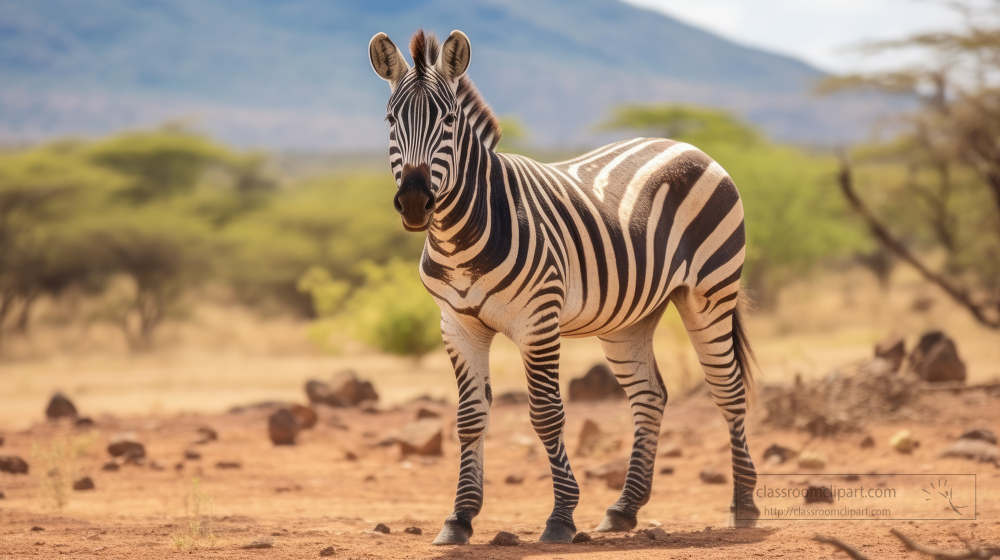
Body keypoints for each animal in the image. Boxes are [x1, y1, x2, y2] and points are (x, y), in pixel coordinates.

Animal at [372, 29, 760, 544]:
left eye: (450, 120)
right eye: (391, 120)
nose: (416, 202)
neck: (463, 237)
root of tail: (682, 143)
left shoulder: (538, 320)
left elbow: (546, 413)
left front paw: (560, 517)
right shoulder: (456, 325)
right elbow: (469, 419)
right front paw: (459, 518)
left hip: (710, 293)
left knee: (728, 390)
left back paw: (744, 505)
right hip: (628, 318)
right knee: (649, 396)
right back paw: (623, 509)